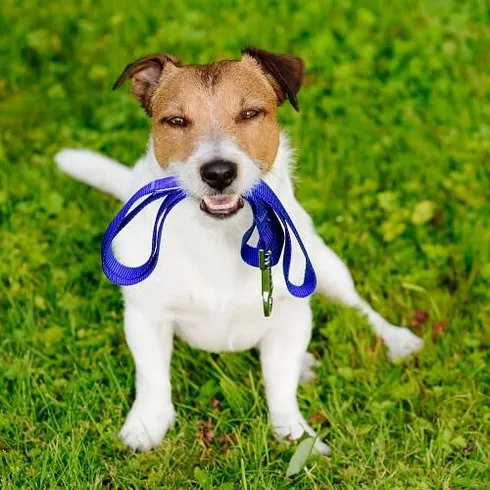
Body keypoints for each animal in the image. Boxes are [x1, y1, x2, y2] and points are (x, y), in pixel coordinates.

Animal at [52, 47, 422, 454]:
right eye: (176, 120)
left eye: (249, 114)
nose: (218, 172)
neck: (219, 234)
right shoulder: (145, 316)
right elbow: (152, 377)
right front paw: (147, 425)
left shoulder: (291, 315)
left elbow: (280, 388)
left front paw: (296, 437)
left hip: (326, 269)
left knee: (358, 307)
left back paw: (395, 339)